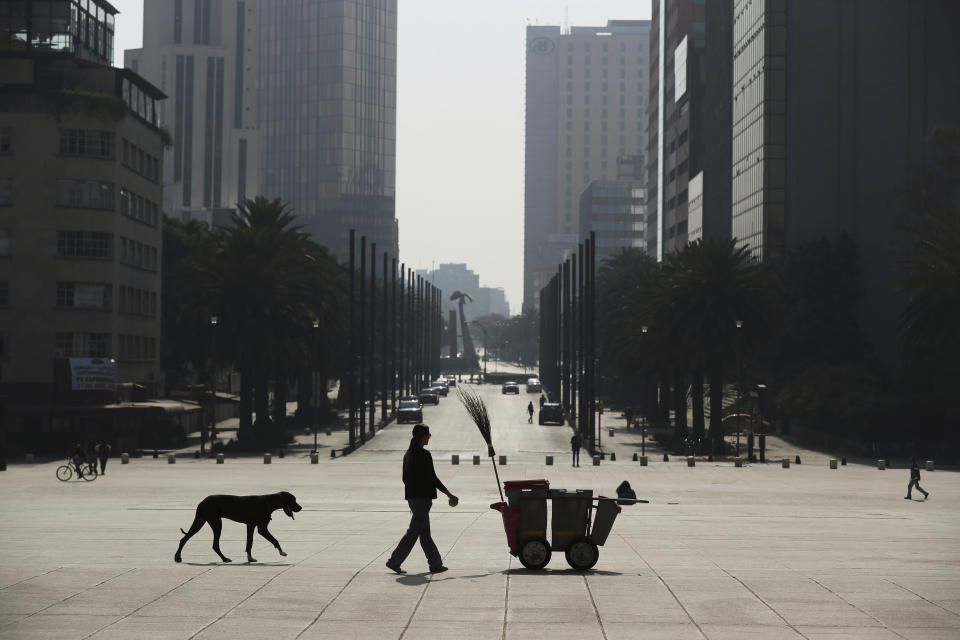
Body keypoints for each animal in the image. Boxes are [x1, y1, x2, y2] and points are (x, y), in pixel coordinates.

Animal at [174, 492, 302, 564]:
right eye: (293, 500)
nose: (300, 508)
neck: (268, 502)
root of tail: (202, 501)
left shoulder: (250, 526)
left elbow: (249, 543)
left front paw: (250, 558)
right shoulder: (262, 528)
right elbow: (275, 540)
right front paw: (282, 552)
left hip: (200, 521)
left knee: (184, 539)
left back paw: (177, 557)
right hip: (216, 523)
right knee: (214, 544)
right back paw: (225, 559)